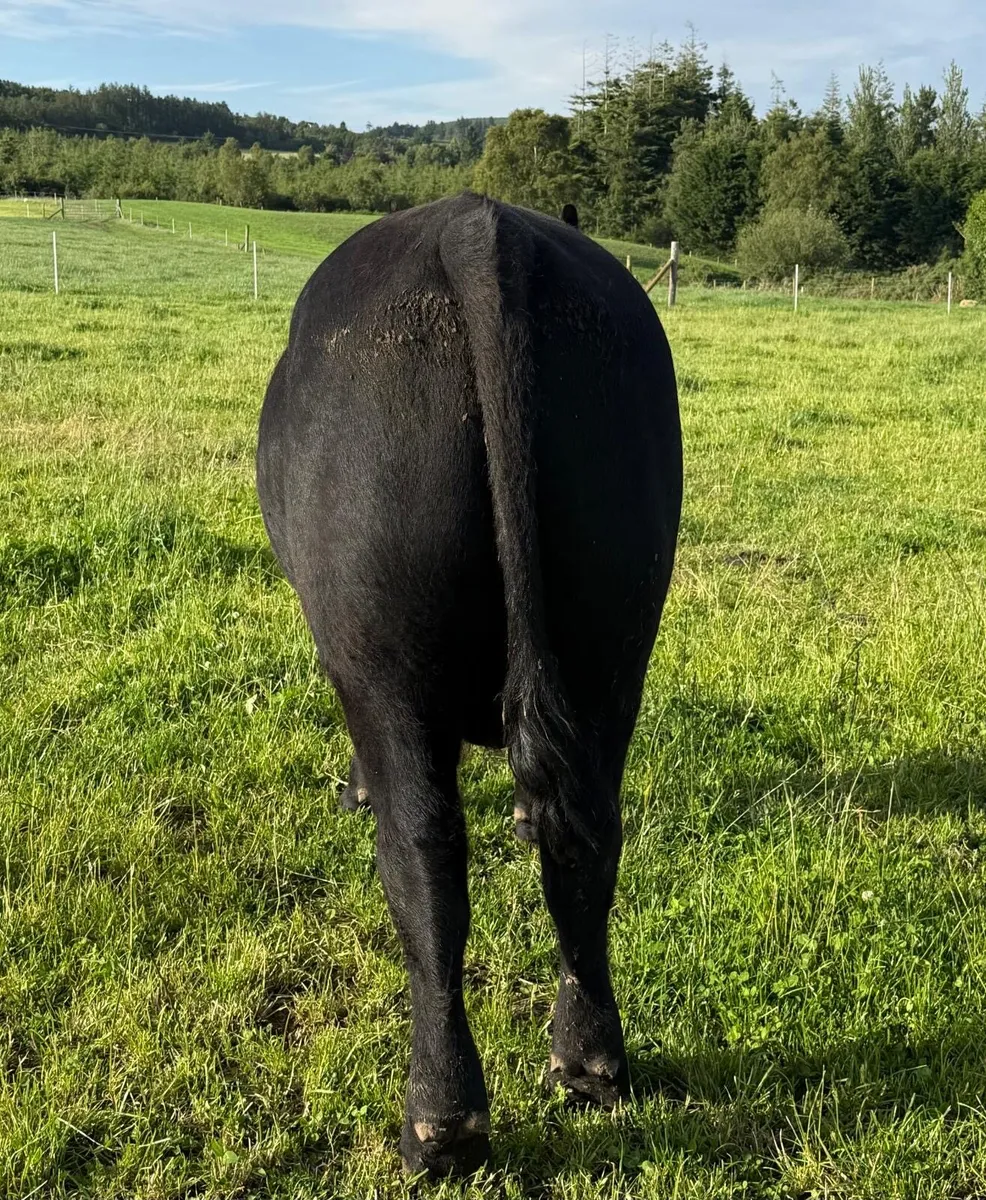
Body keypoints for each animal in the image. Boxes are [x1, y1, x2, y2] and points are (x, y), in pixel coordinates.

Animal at [256, 191, 682, 1176]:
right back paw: (591, 1061)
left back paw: (440, 1121)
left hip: (385, 663)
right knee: (586, 836)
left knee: (425, 859)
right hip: (614, 634)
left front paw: (353, 791)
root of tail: (479, 228)